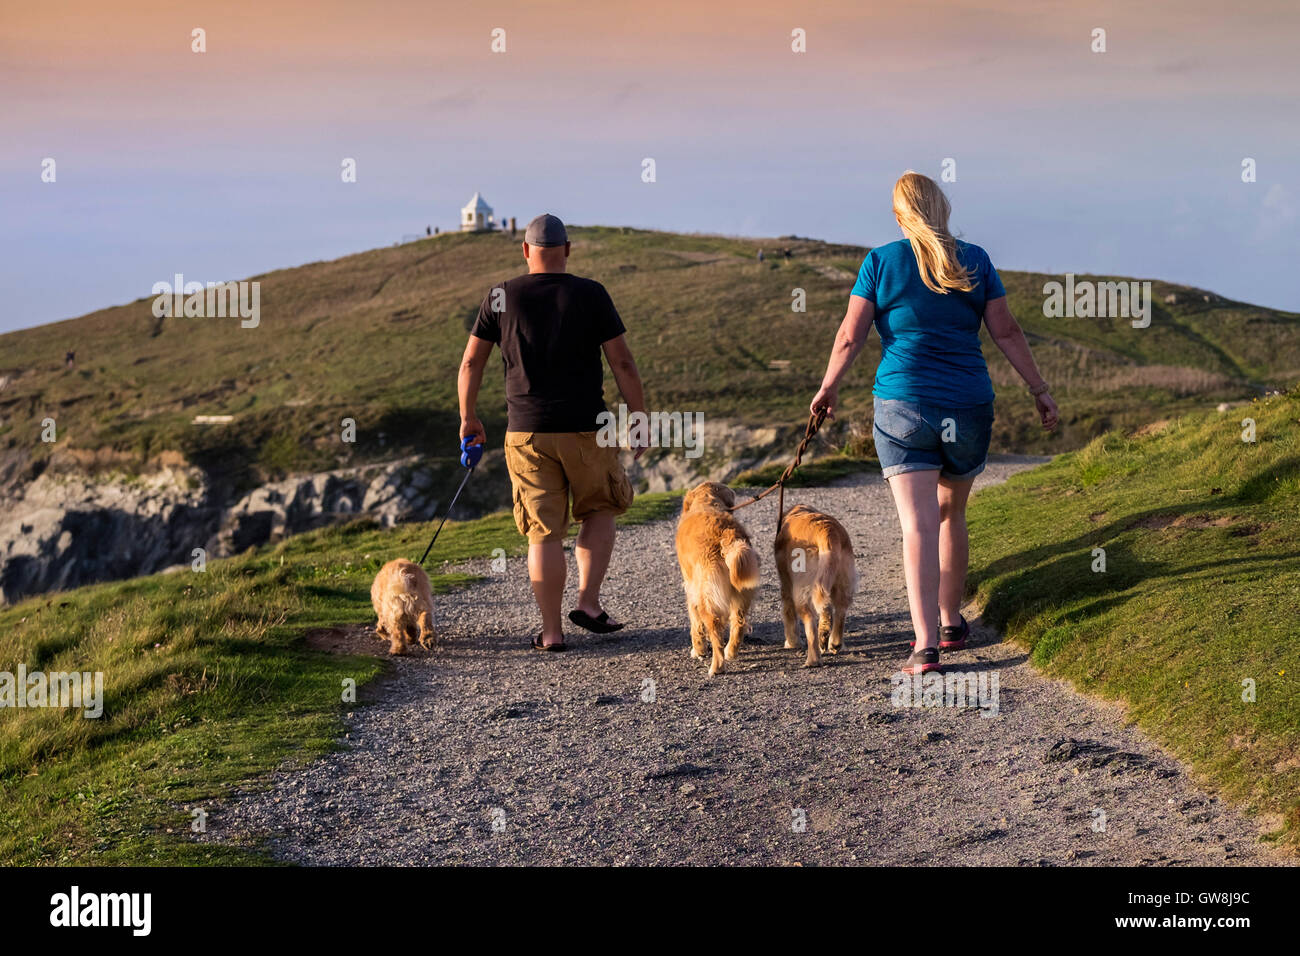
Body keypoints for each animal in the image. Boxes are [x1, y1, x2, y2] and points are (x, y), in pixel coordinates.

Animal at [670, 481, 759, 676]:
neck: (706, 502)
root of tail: (726, 537)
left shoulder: (691, 587)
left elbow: (695, 623)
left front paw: (698, 650)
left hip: (708, 596)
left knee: (715, 631)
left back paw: (716, 666)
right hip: (742, 591)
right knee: (738, 623)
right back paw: (730, 652)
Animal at [774, 504, 857, 671]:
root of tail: (827, 532)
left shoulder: (786, 586)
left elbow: (788, 614)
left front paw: (791, 642)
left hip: (802, 589)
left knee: (810, 622)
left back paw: (813, 659)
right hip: (843, 580)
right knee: (839, 611)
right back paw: (833, 643)